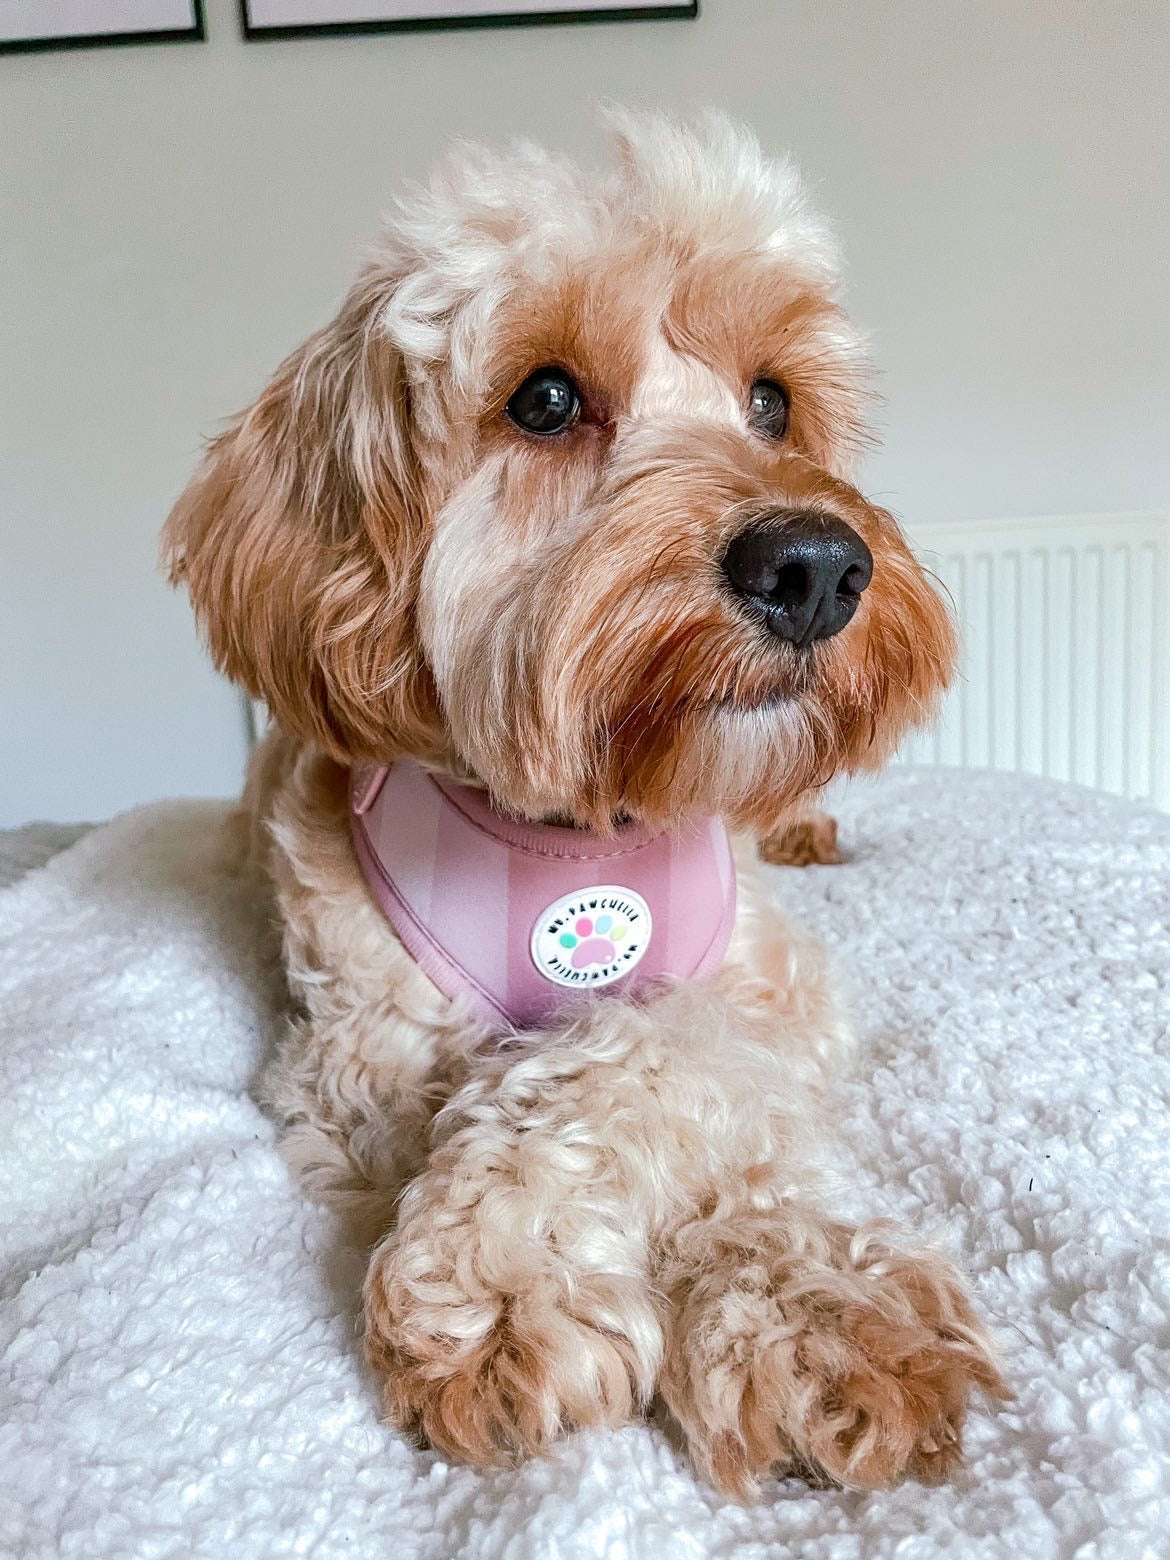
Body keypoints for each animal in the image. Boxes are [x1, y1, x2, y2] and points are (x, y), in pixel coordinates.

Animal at [164, 110, 1006, 1498]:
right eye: (545, 400)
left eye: (773, 401)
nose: (817, 565)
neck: (582, 829)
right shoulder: (356, 1069)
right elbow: (573, 1067)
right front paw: (503, 1288)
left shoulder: (778, 994)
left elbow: (671, 1057)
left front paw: (812, 1294)